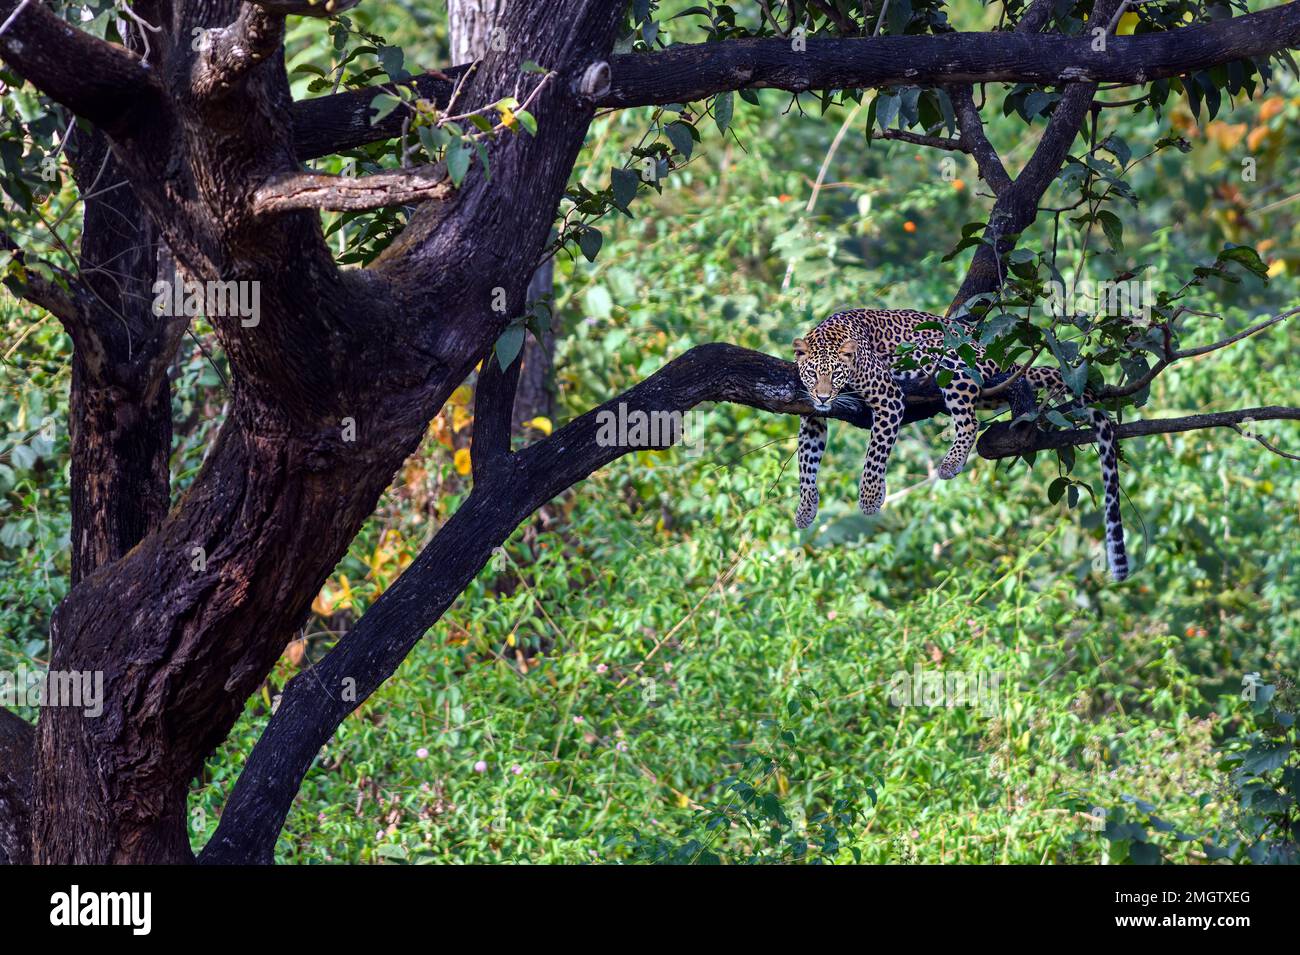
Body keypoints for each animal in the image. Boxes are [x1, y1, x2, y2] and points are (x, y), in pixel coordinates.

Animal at [790, 310, 1128, 587]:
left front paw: (871, 497)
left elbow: (876, 451)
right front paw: (806, 508)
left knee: (969, 419)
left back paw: (951, 462)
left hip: (946, 354)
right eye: (812, 374)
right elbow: (807, 461)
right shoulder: (813, 419)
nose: (823, 397)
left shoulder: (888, 397)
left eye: (836, 374)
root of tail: (1010, 358)